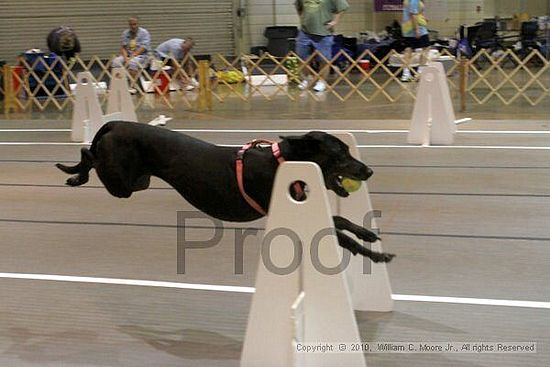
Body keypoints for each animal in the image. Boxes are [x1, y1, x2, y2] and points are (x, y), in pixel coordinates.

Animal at [57, 122, 396, 264]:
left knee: (90, 154)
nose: (368, 171)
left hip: (138, 180)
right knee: (88, 153)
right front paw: (377, 255)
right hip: (121, 182)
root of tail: (115, 123)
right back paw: (74, 175)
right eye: (339, 154)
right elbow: (339, 233)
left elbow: (341, 221)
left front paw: (367, 233)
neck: (283, 160)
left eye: (348, 150)